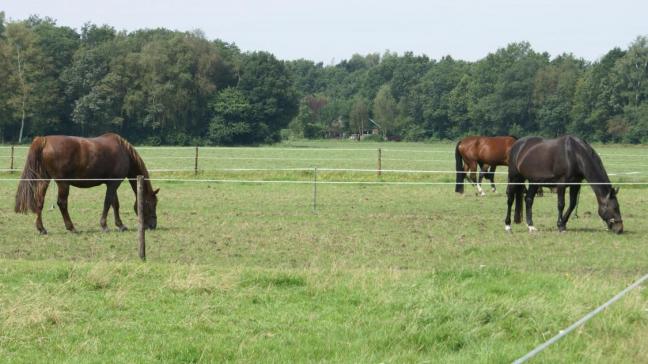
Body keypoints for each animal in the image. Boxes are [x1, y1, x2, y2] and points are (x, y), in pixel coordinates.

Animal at [14, 133, 159, 233]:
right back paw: (71, 227)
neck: (124, 151)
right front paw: (104, 226)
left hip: (44, 180)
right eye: (151, 204)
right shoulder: (113, 183)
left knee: (39, 200)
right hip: (63, 183)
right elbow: (108, 203)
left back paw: (42, 228)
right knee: (62, 203)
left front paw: (120, 225)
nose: (153, 225)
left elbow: (115, 204)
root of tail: (44, 140)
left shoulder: (111, 184)